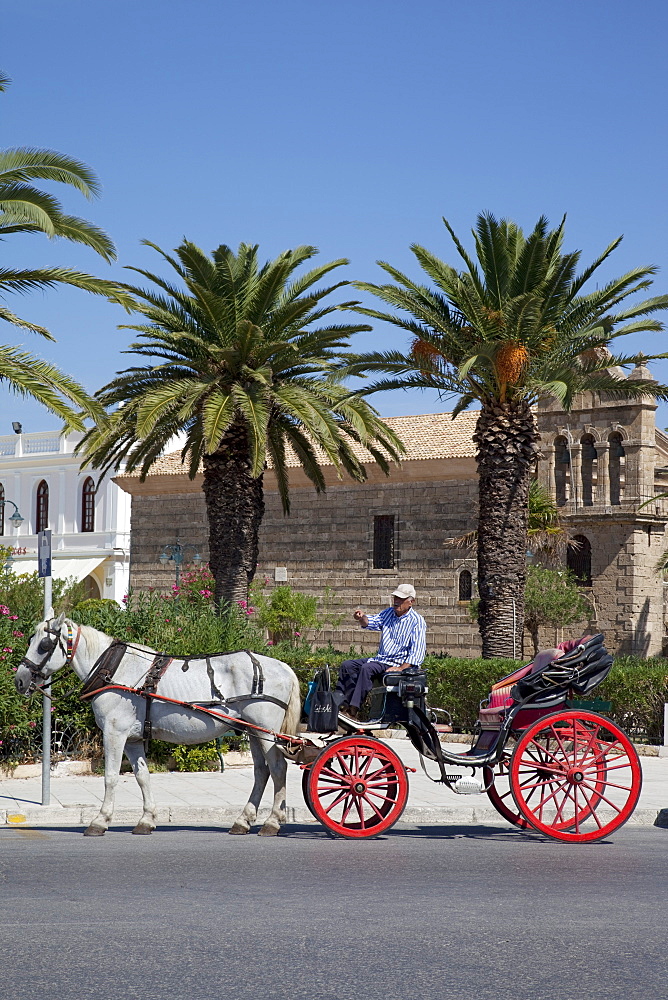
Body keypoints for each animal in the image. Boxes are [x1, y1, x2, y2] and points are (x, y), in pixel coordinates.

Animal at [14, 616, 302, 836]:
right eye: (31, 640)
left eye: (44, 645)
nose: (19, 679)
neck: (113, 671)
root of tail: (284, 666)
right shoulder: (132, 739)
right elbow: (142, 776)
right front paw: (147, 820)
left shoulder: (114, 734)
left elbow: (111, 777)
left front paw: (100, 820)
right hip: (253, 731)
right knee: (261, 772)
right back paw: (243, 821)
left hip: (266, 732)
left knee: (278, 768)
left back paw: (272, 822)